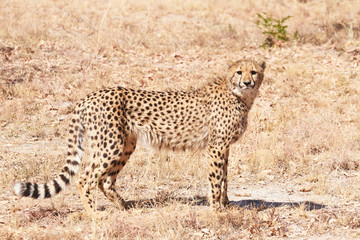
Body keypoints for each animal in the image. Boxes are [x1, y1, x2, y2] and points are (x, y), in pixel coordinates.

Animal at [14, 59, 266, 214]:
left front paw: (226, 203)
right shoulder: (216, 146)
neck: (240, 96)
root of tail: (89, 96)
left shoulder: (225, 147)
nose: (247, 82)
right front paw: (216, 209)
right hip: (110, 145)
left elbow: (225, 177)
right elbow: (216, 179)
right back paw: (94, 213)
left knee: (105, 180)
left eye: (253, 71)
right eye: (239, 72)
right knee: (86, 177)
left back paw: (124, 206)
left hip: (126, 144)